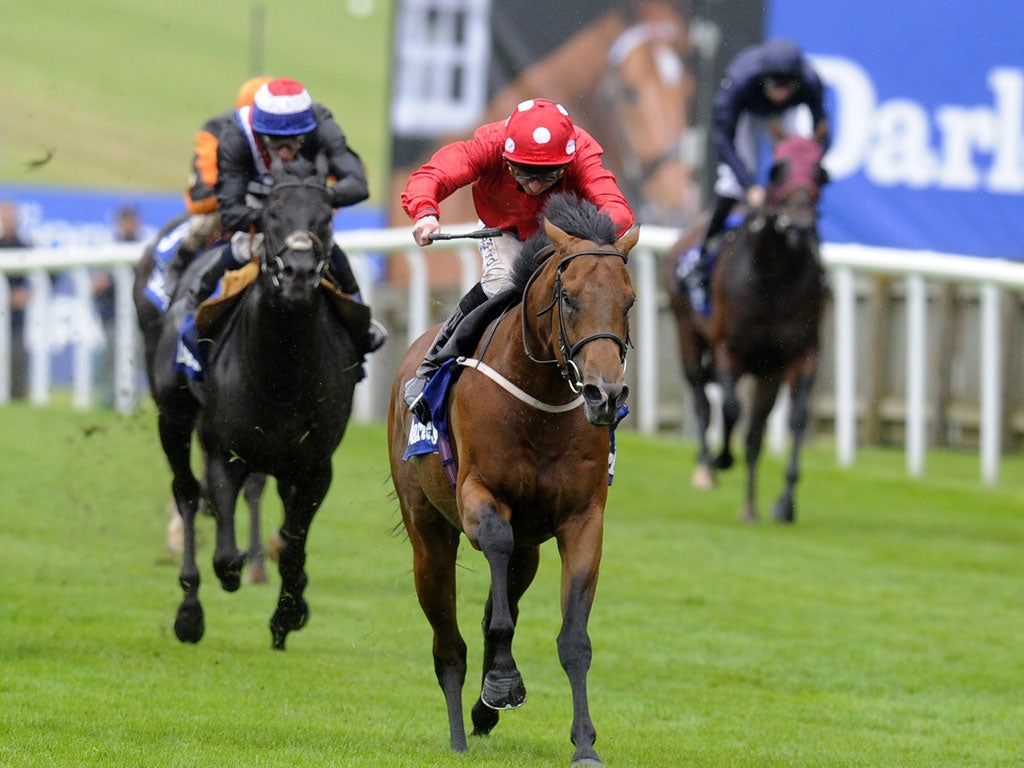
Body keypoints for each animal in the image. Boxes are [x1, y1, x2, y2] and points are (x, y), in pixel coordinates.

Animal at [146, 156, 364, 651]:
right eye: (272, 216)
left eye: (325, 217)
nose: (299, 272)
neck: (281, 373)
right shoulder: (226, 452)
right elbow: (227, 555)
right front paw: (231, 581)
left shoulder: (315, 465)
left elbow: (295, 544)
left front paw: (288, 613)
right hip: (173, 418)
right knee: (186, 492)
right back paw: (189, 610)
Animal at [387, 195, 634, 765]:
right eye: (569, 298)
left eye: (629, 302)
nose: (605, 394)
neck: (539, 398)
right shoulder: (479, 494)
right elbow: (495, 562)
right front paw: (502, 681)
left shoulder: (582, 519)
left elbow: (573, 638)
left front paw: (584, 744)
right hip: (428, 535)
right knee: (448, 642)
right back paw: (460, 730)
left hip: (530, 548)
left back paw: (480, 712)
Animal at [667, 137, 827, 524]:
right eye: (777, 170)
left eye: (821, 172)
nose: (802, 227)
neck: (775, 278)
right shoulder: (729, 348)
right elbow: (729, 409)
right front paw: (723, 458)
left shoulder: (797, 356)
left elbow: (794, 419)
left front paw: (785, 502)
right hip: (687, 335)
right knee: (702, 400)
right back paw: (706, 466)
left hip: (766, 371)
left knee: (755, 431)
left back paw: (750, 505)